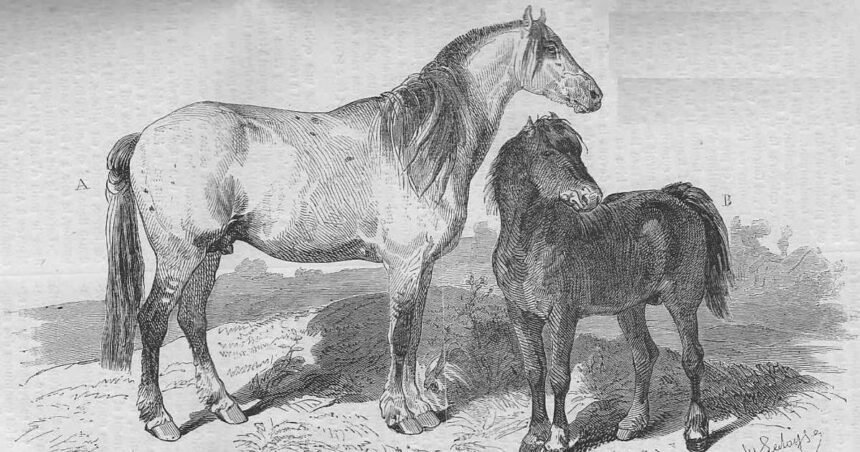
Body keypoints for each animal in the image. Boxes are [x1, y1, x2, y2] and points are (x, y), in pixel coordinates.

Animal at [101, 6, 603, 441]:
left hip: (208, 252)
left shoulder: (422, 268)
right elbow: (398, 337)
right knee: (152, 321)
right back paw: (160, 420)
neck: (415, 145)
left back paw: (226, 406)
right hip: (180, 253)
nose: (595, 95)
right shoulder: (404, 264)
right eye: (552, 47)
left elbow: (413, 334)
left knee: (192, 317)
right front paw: (401, 415)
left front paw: (419, 407)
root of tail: (145, 136)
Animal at [488, 115, 732, 452]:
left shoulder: (562, 316)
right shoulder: (521, 316)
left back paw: (695, 430)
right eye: (548, 153)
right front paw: (534, 434)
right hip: (630, 308)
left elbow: (558, 377)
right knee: (645, 355)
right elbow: (534, 372)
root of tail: (676, 199)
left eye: (577, 152)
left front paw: (558, 437)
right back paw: (633, 423)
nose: (590, 196)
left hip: (681, 302)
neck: (529, 245)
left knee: (692, 358)